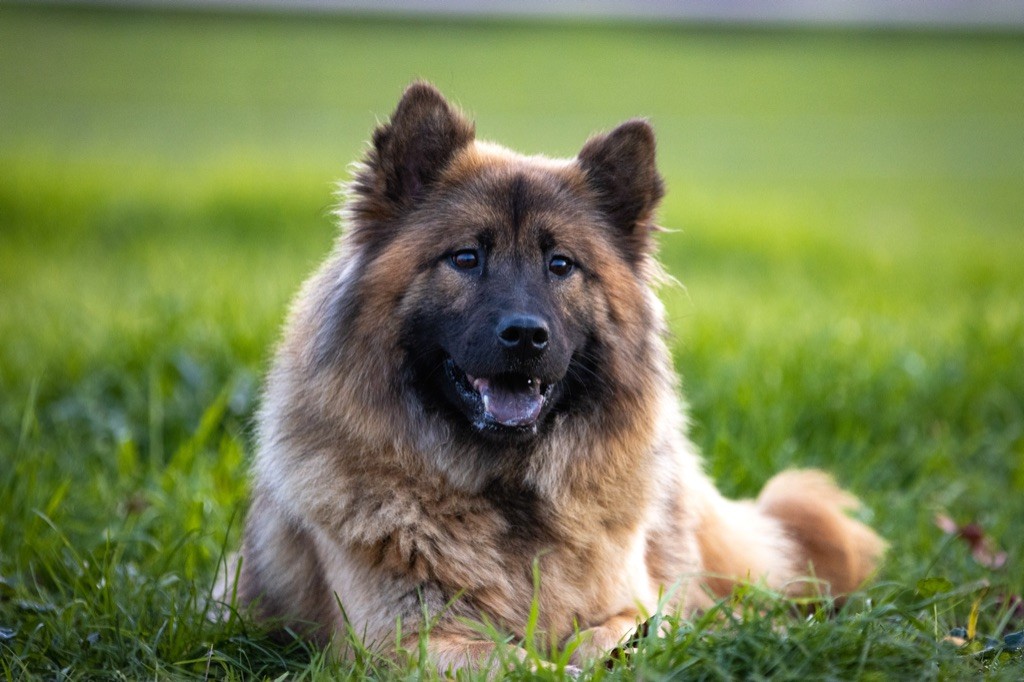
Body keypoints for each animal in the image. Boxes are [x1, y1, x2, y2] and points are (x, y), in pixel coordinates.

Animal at [228, 80, 884, 667]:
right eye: (466, 257)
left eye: (561, 264)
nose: (525, 335)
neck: (508, 492)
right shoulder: (400, 638)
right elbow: (517, 661)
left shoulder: (632, 600)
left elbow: (623, 630)